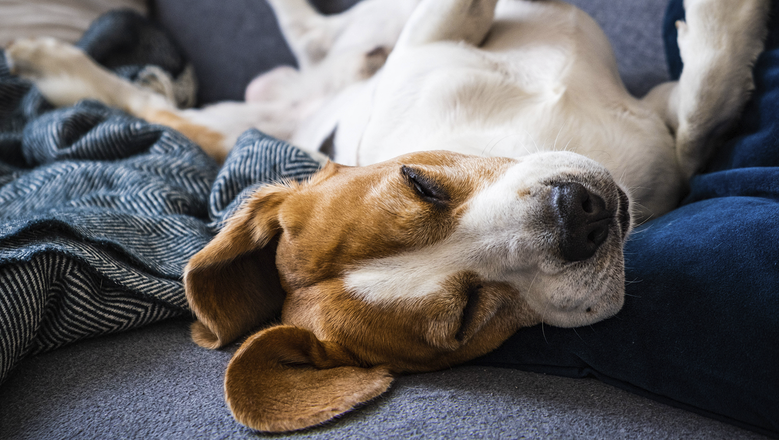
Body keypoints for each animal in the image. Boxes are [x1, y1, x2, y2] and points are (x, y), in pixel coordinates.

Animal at [3, 0, 772, 434]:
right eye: (466, 319)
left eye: (419, 183)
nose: (580, 217)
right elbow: (702, 111)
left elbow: (702, 100)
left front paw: (718, 24)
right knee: (173, 105)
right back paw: (49, 63)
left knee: (307, 36)